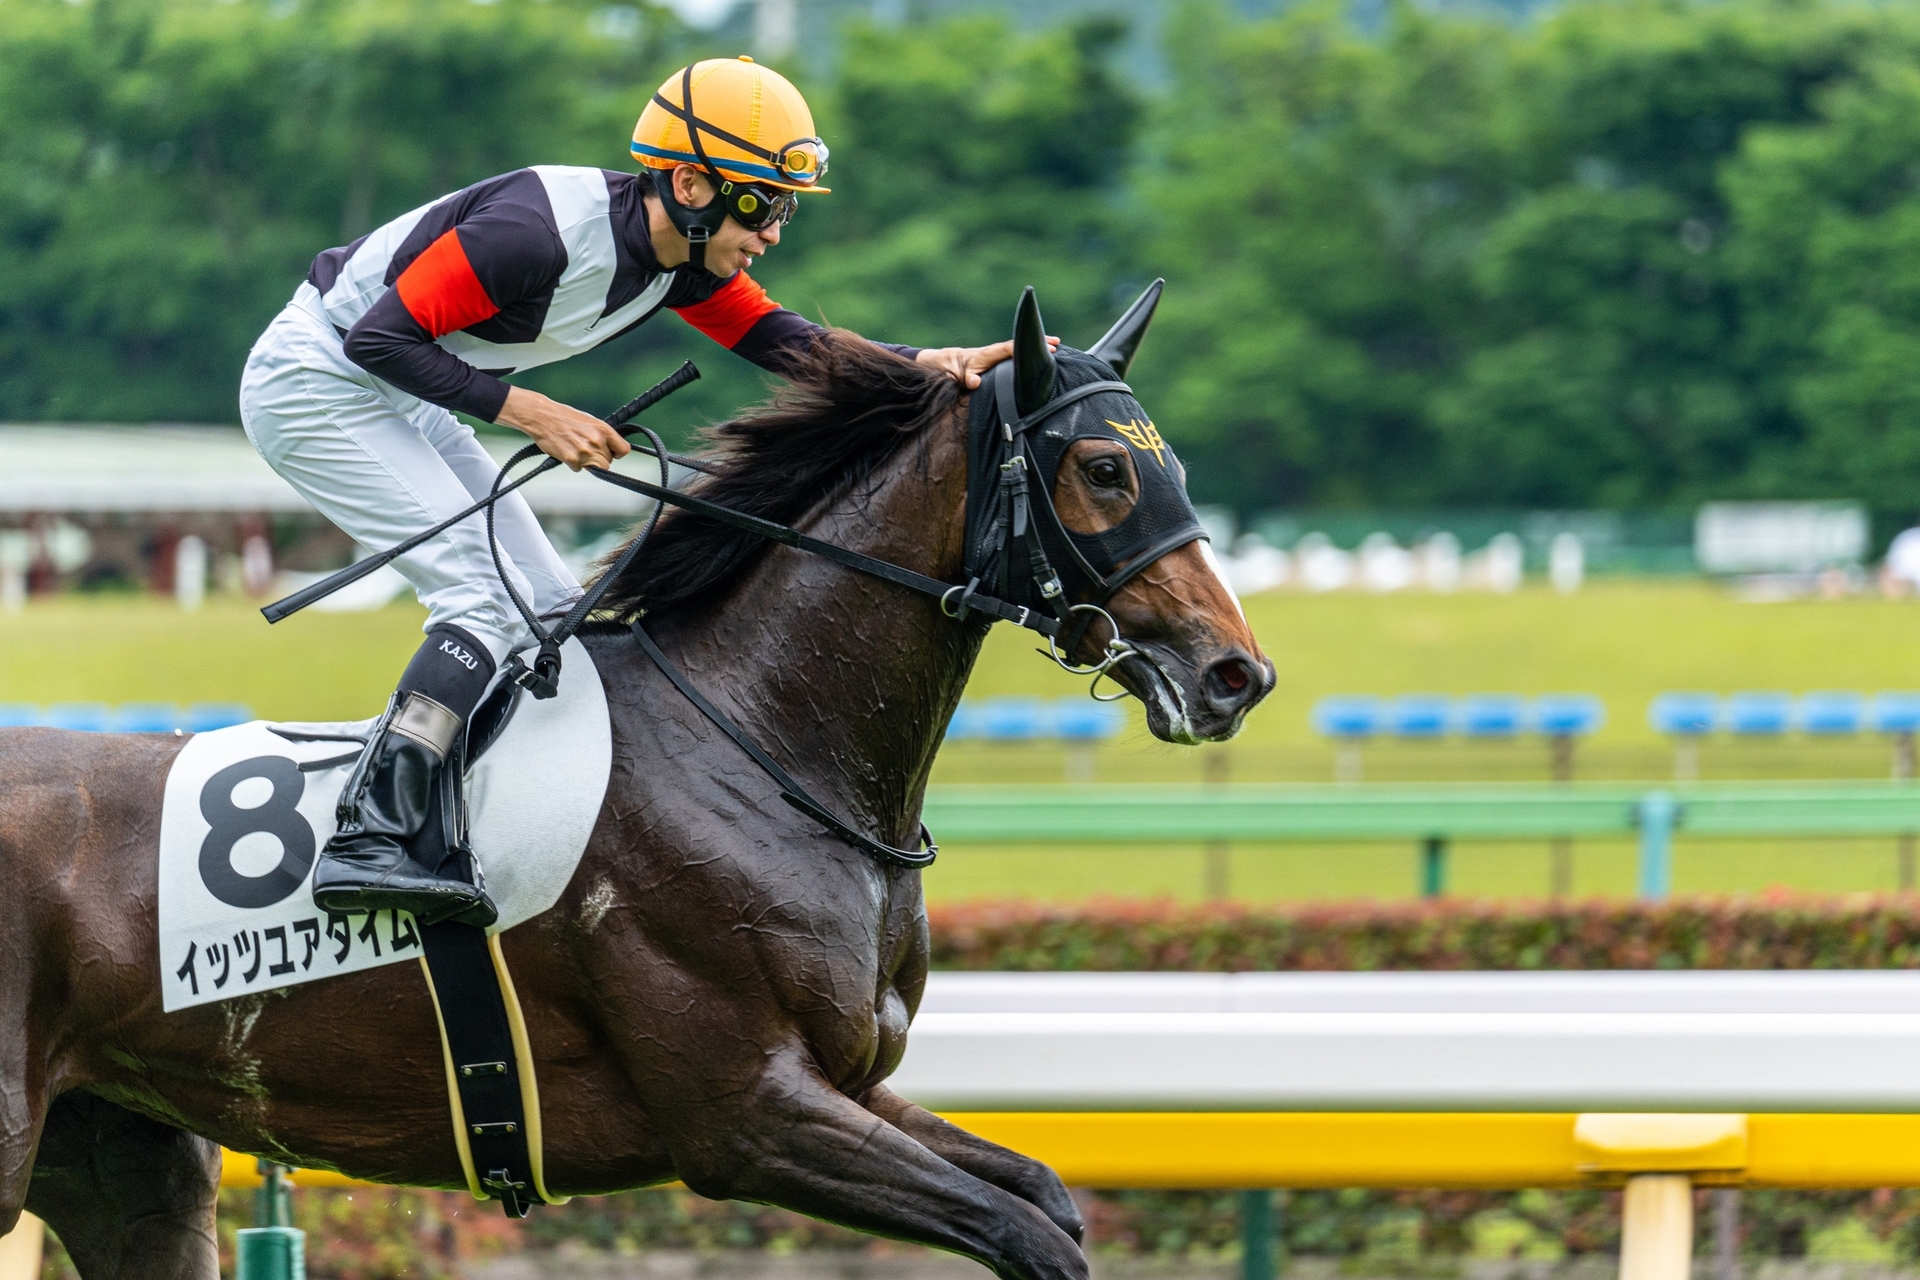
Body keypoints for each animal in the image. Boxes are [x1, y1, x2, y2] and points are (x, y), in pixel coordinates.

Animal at [1, 290, 1273, 1279]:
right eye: (1104, 468)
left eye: (1173, 464)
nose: (1237, 672)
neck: (758, 740)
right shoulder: (745, 1112)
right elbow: (1031, 1233)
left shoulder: (849, 1085)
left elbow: (1044, 1194)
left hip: (128, 1157)